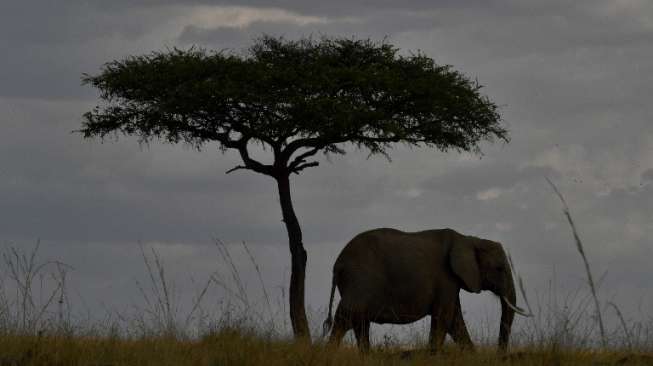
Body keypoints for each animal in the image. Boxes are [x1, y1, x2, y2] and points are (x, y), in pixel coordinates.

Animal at [320, 229, 528, 352]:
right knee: (345, 318)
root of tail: (338, 264)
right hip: (360, 281)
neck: (470, 240)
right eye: (500, 268)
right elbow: (444, 319)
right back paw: (329, 353)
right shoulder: (446, 277)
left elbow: (455, 322)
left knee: (359, 323)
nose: (500, 354)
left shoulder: (451, 282)